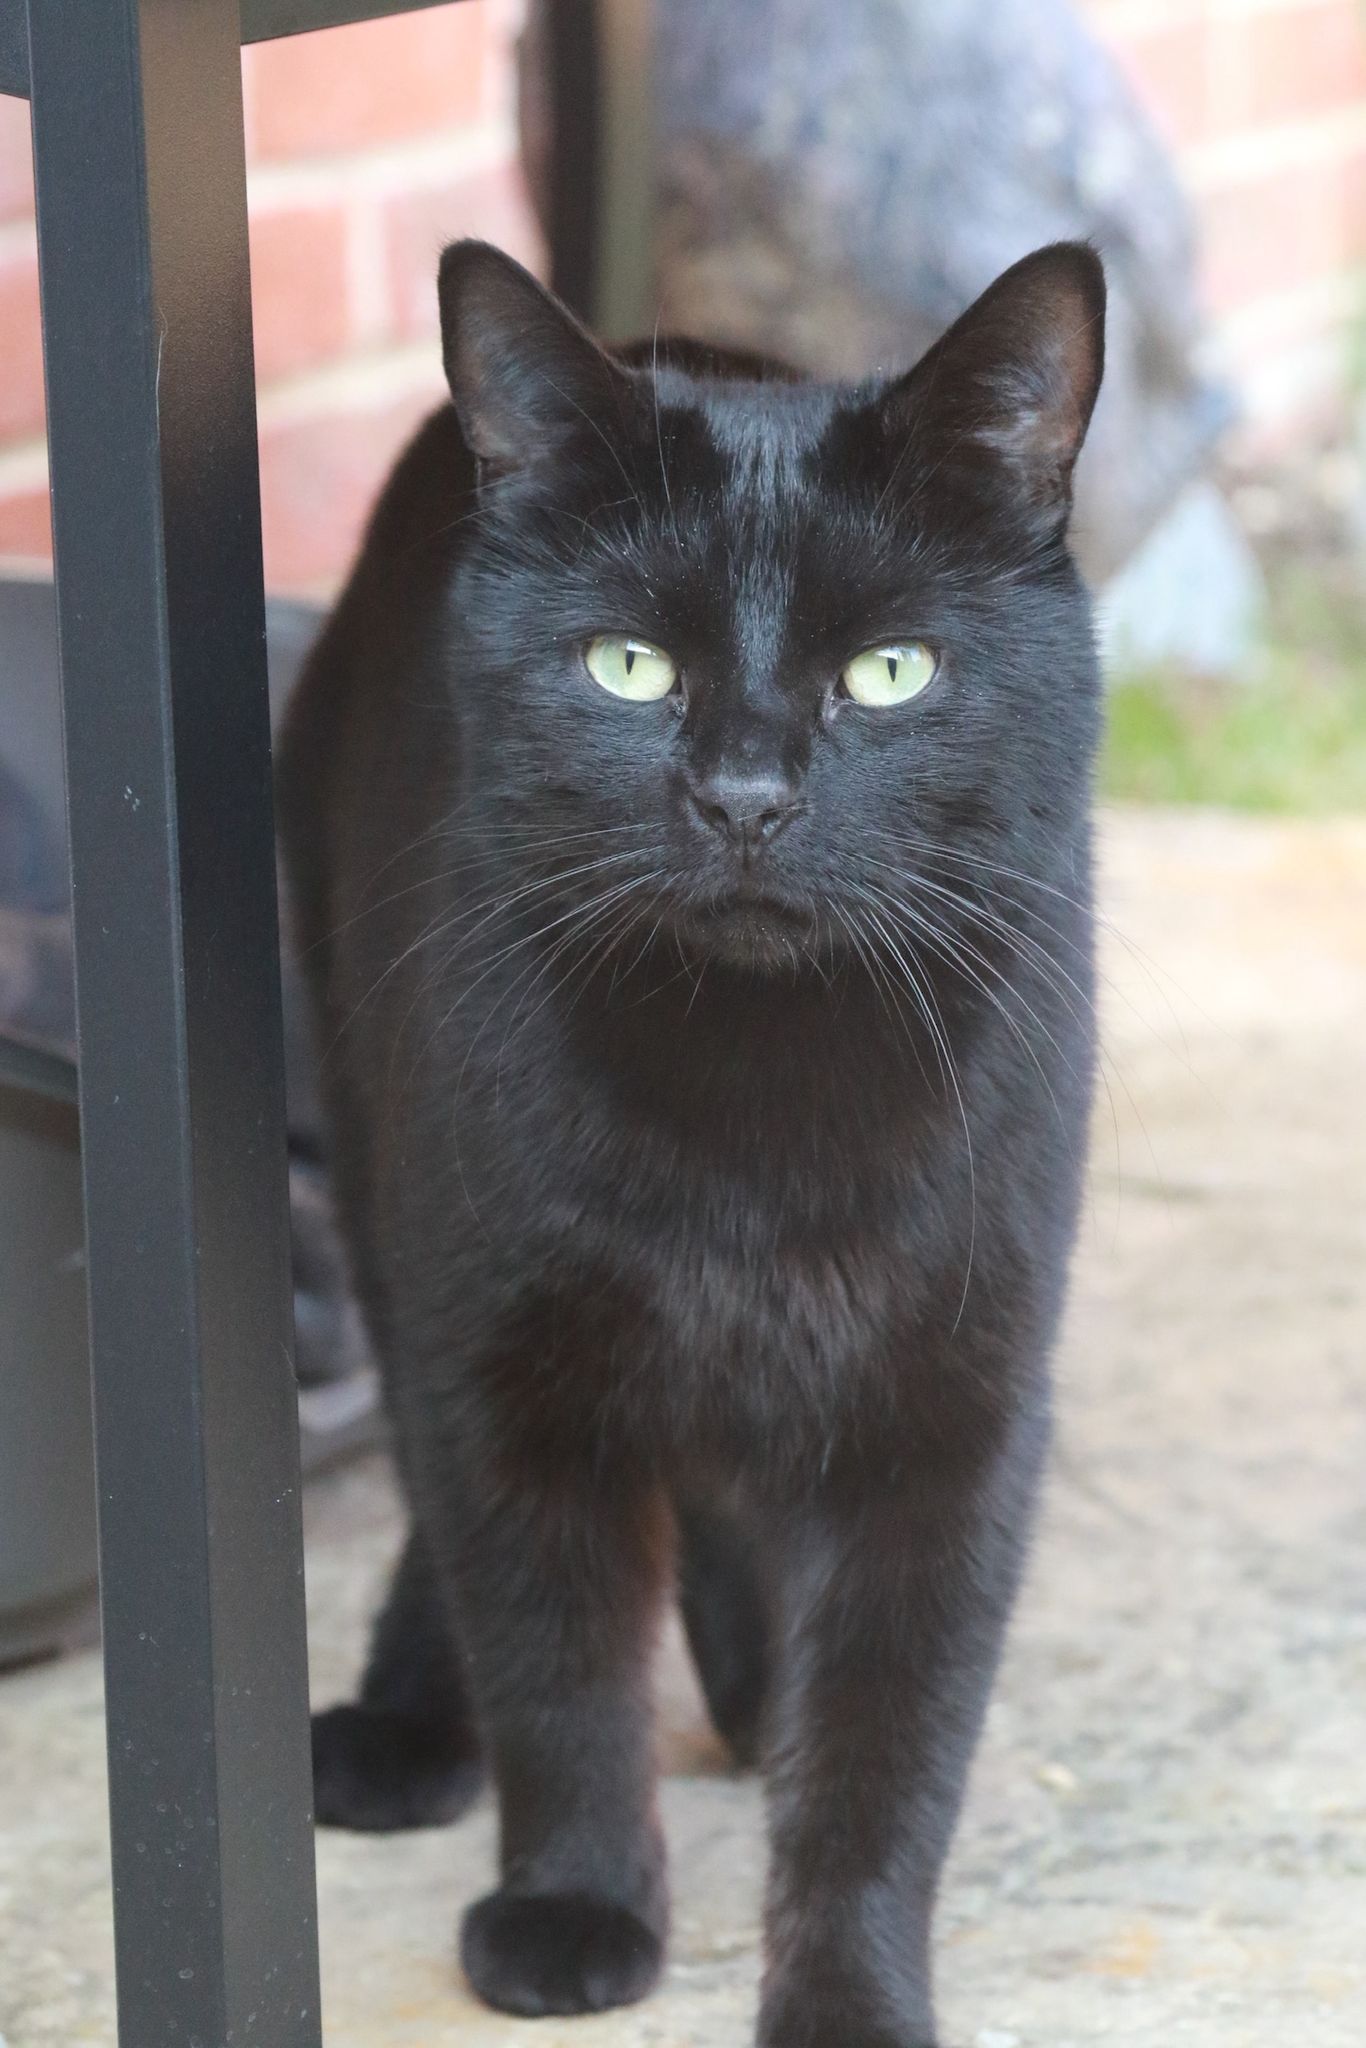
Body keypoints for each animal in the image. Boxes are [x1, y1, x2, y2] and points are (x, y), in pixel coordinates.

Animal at [278, 235, 1105, 2046]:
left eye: (890, 672)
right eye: (626, 666)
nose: (741, 796)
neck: (756, 1103)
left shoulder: (952, 1407)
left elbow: (888, 1751)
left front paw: (850, 1991)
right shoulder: (499, 1356)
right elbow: (556, 1660)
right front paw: (574, 1908)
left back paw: (744, 1682)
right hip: (374, 1167)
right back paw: (411, 1724)